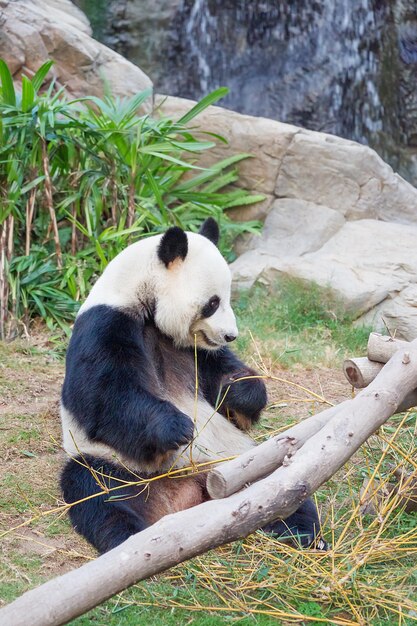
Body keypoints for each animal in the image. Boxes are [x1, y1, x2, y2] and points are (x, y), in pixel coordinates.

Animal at [59, 218, 322, 552]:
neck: (143, 299)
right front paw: (177, 427)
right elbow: (102, 396)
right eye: (213, 303)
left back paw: (302, 533)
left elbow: (225, 382)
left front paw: (238, 389)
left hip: (242, 462)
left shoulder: (198, 352)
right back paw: (130, 538)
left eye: (228, 299)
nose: (230, 335)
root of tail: (187, 494)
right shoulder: (105, 324)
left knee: (279, 484)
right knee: (98, 493)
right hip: (119, 466)